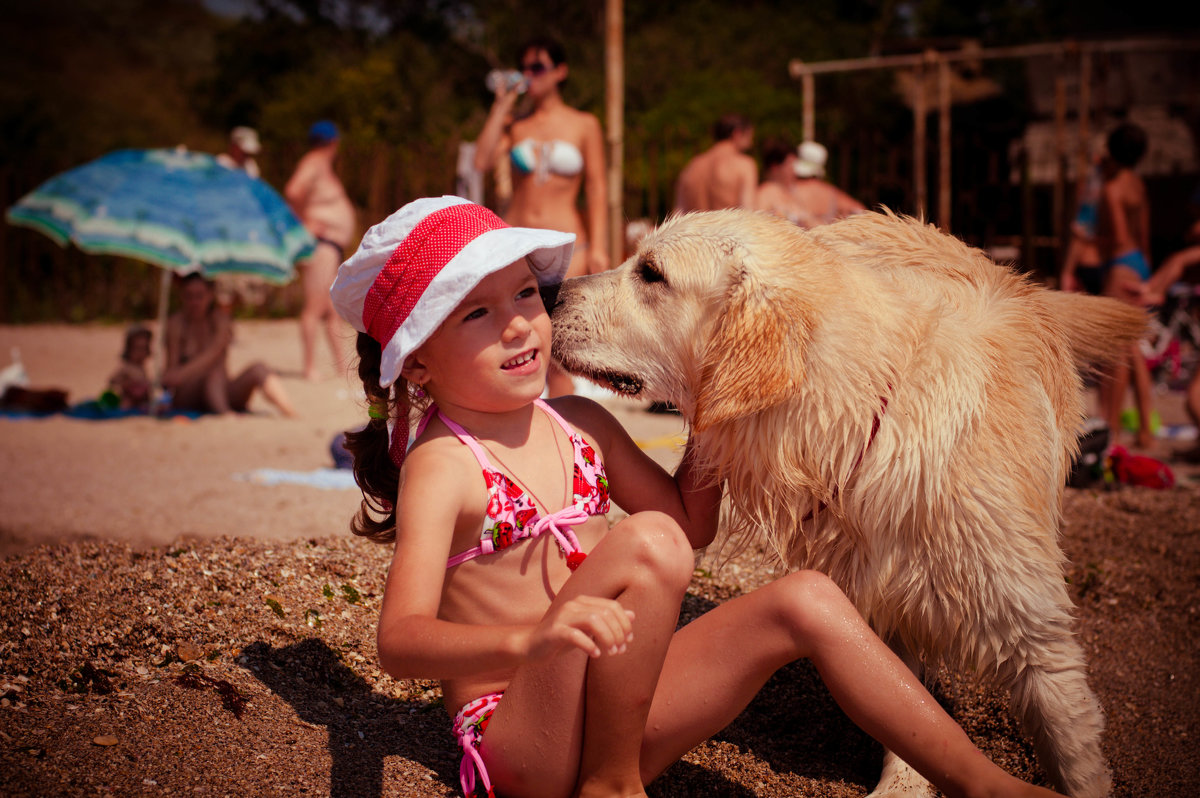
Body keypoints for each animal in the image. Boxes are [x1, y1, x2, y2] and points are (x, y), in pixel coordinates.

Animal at [549, 208, 1147, 792]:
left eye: (652, 273)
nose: (549, 290)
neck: (865, 420)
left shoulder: (1034, 630)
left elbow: (1070, 749)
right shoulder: (881, 599)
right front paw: (903, 783)